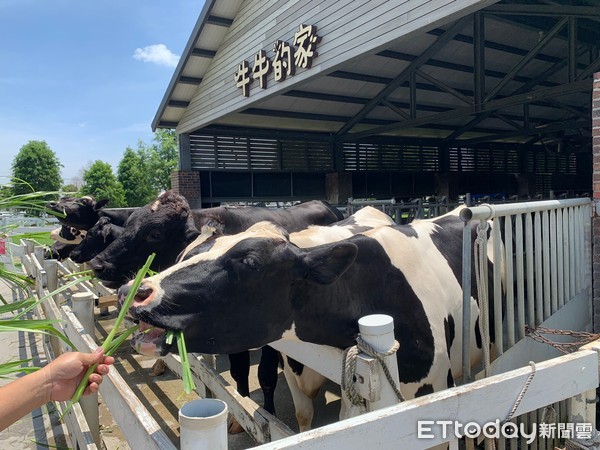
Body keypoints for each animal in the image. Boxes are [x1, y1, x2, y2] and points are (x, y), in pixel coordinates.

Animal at [119, 213, 494, 430]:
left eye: (250, 262)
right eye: (190, 255)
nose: (133, 291)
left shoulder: (432, 386)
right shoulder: (295, 372)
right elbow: (303, 416)